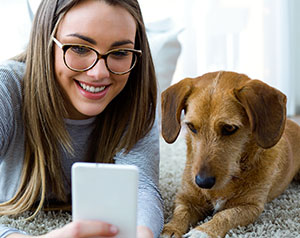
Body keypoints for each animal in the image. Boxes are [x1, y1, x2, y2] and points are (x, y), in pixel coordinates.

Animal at [161, 71, 300, 238]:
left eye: (229, 128)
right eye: (191, 127)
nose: (202, 182)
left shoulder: (251, 207)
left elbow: (225, 215)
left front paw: (203, 231)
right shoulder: (186, 198)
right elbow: (181, 213)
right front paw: (171, 229)